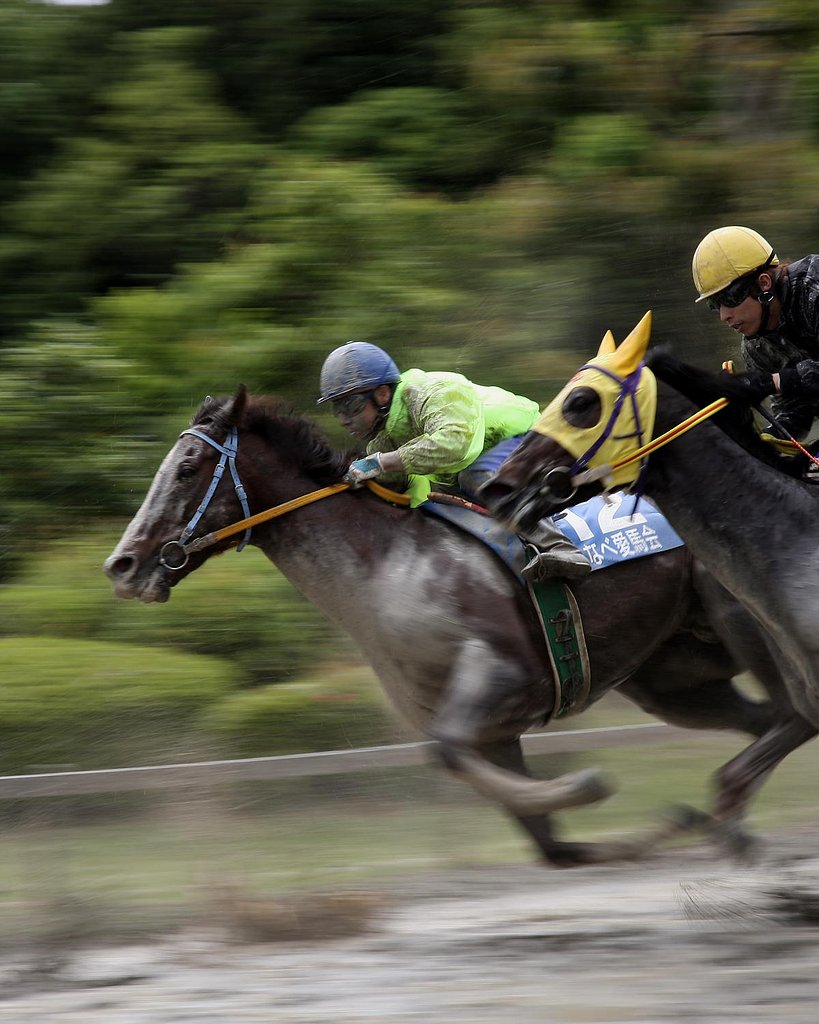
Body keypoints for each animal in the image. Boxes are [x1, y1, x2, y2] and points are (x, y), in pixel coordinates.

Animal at [103, 385, 802, 868]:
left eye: (187, 468)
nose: (123, 565)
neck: (388, 570)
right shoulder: (496, 734)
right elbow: (552, 846)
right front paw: (651, 820)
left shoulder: (503, 674)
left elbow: (446, 747)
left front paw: (585, 783)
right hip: (672, 679)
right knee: (766, 720)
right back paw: (731, 819)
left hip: (742, 622)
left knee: (797, 711)